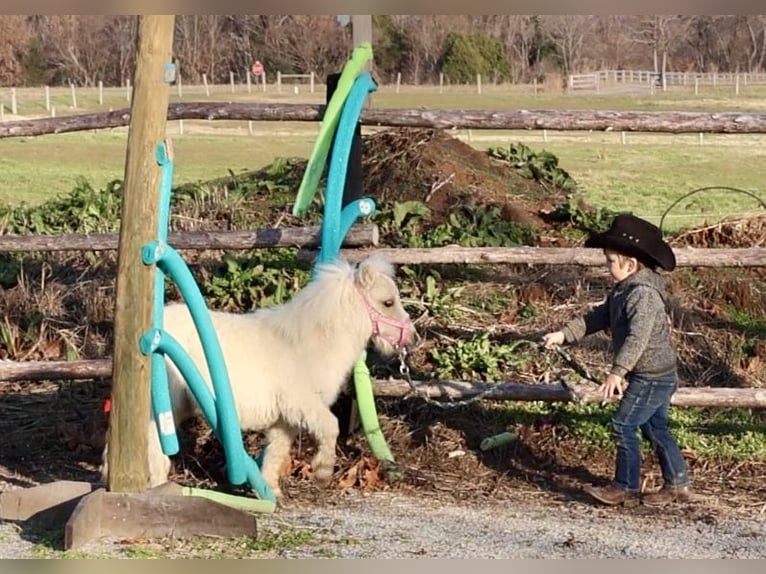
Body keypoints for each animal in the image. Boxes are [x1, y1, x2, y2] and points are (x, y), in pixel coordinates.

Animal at [102, 255, 416, 500]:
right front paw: (323, 472)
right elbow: (331, 426)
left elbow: (277, 452)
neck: (305, 344)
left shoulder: (285, 419)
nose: (412, 338)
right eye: (388, 302)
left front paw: (271, 492)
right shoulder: (303, 404)